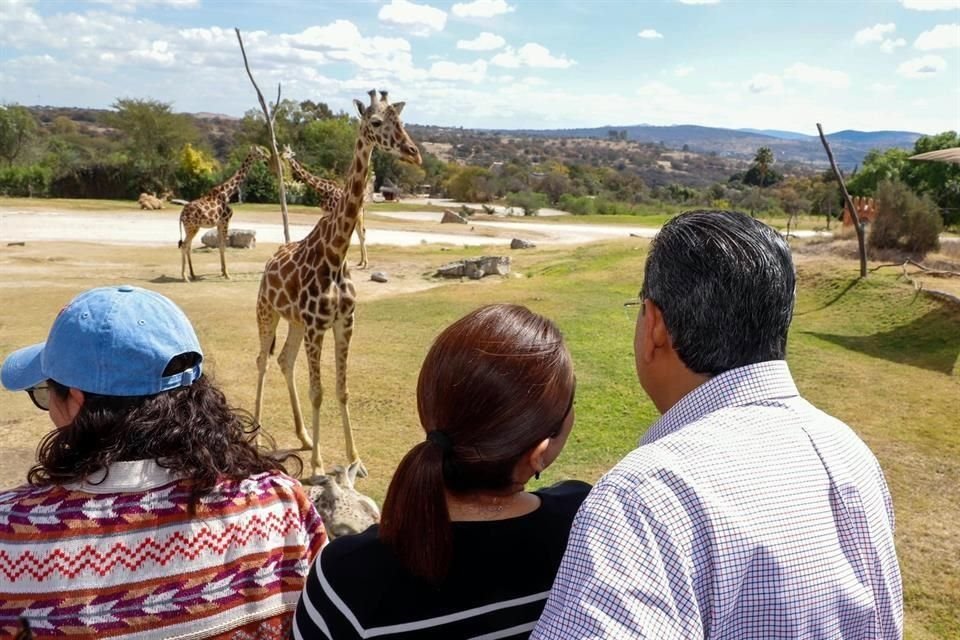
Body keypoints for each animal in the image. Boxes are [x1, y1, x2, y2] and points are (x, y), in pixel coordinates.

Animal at [178, 149, 268, 284]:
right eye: (260, 152)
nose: (266, 158)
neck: (227, 192)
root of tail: (181, 214)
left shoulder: (219, 223)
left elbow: (220, 245)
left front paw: (222, 272)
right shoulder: (226, 221)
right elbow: (223, 246)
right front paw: (227, 274)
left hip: (189, 228)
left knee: (187, 246)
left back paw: (193, 275)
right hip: (192, 227)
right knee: (184, 246)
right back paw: (185, 277)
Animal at [255, 91, 420, 480]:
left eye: (402, 120)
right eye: (375, 122)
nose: (412, 152)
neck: (335, 253)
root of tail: (268, 264)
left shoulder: (344, 322)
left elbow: (342, 390)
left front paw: (354, 459)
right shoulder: (318, 326)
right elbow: (318, 391)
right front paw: (317, 465)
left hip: (295, 322)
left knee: (284, 360)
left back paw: (303, 436)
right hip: (267, 312)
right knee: (262, 361)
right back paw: (256, 433)